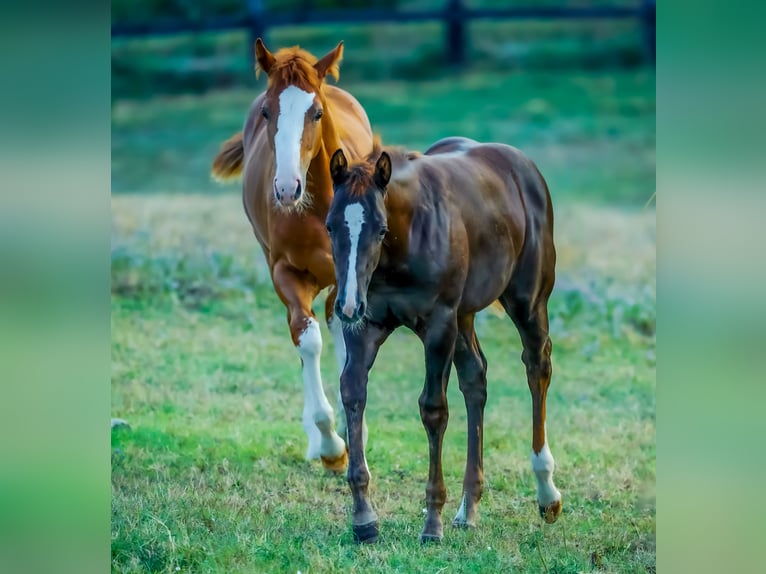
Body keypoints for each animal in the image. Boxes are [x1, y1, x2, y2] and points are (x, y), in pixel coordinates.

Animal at [211, 39, 373, 472]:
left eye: (316, 112)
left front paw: (350, 431)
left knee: (336, 320)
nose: (286, 188)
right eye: (268, 112)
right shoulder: (285, 272)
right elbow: (307, 339)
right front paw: (330, 445)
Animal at [325, 137, 562, 543]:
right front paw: (364, 519)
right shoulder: (365, 326)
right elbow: (353, 394)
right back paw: (468, 509)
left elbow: (433, 409)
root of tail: (523, 166)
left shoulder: (438, 325)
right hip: (463, 317)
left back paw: (546, 494)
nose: (347, 304)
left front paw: (432, 523)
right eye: (329, 227)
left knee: (537, 368)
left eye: (380, 229)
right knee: (476, 379)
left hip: (527, 302)